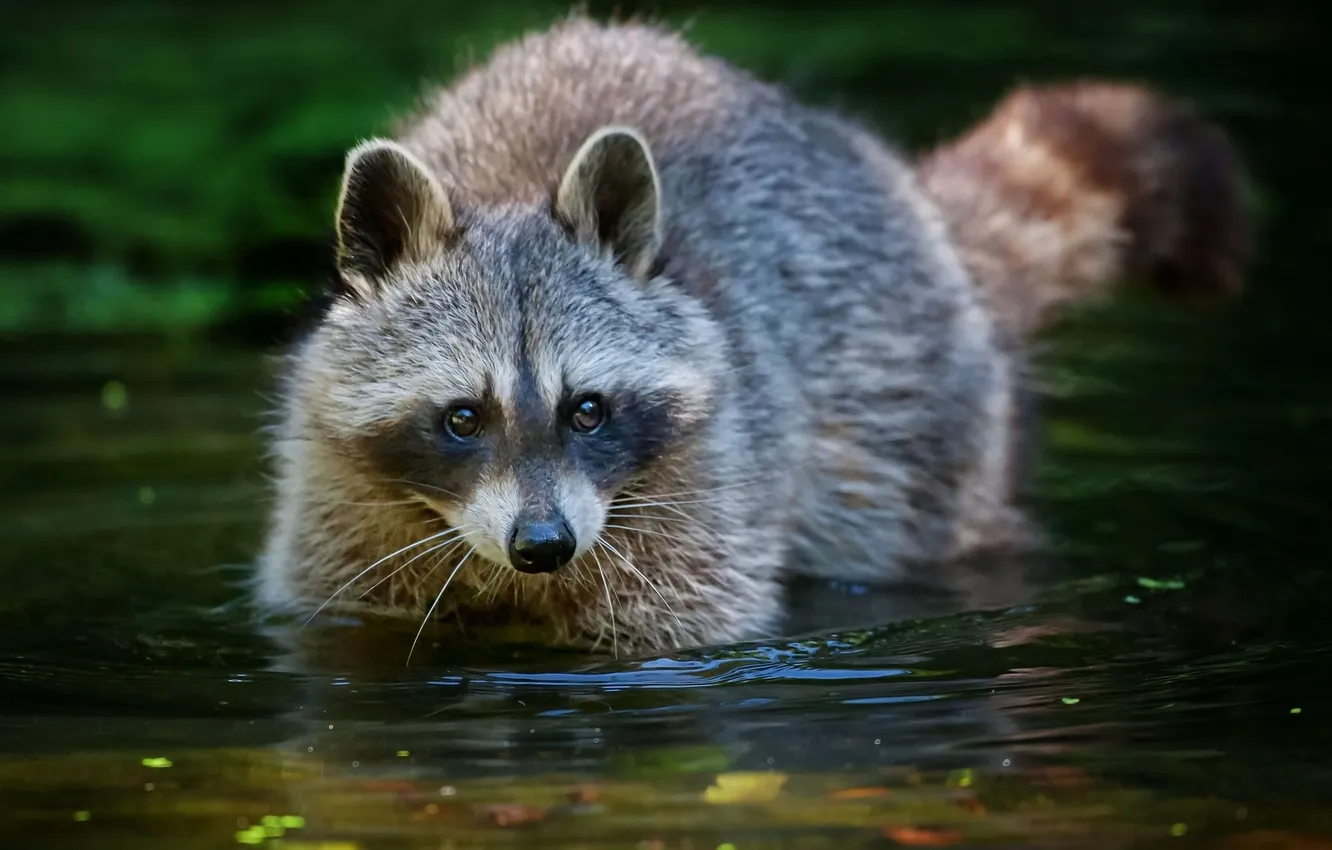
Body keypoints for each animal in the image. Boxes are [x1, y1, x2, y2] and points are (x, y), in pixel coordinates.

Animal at [250, 18, 1246, 660]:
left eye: (587, 410)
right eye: (463, 416)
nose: (545, 544)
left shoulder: (705, 491)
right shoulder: (337, 504)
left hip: (913, 402)